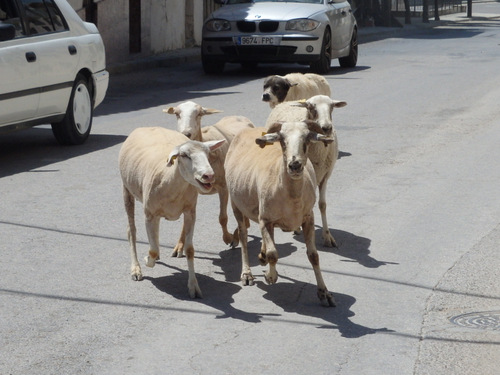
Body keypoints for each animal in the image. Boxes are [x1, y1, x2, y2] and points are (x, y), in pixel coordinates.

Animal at [119, 128, 225, 298]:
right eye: (185, 155)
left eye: (208, 153)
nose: (209, 176)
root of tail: (145, 127)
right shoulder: (149, 214)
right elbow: (152, 250)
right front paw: (147, 260)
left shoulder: (190, 212)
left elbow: (189, 250)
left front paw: (193, 286)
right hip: (126, 189)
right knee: (131, 231)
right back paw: (136, 269)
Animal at [164, 100, 254, 254]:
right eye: (177, 114)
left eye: (199, 114)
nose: (186, 133)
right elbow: (185, 220)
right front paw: (179, 245)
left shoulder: (223, 187)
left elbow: (222, 217)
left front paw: (228, 238)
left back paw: (238, 234)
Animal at [226, 122, 336, 306]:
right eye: (282, 140)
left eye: (307, 139)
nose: (295, 165)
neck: (292, 196)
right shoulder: (265, 220)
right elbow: (273, 254)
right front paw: (271, 276)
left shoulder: (308, 218)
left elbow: (314, 256)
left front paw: (324, 293)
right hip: (236, 204)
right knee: (243, 235)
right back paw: (247, 274)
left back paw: (261, 255)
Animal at [266, 94, 348, 248]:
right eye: (311, 107)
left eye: (332, 107)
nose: (326, 128)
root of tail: (288, 101)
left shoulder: (325, 176)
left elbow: (322, 205)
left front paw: (327, 236)